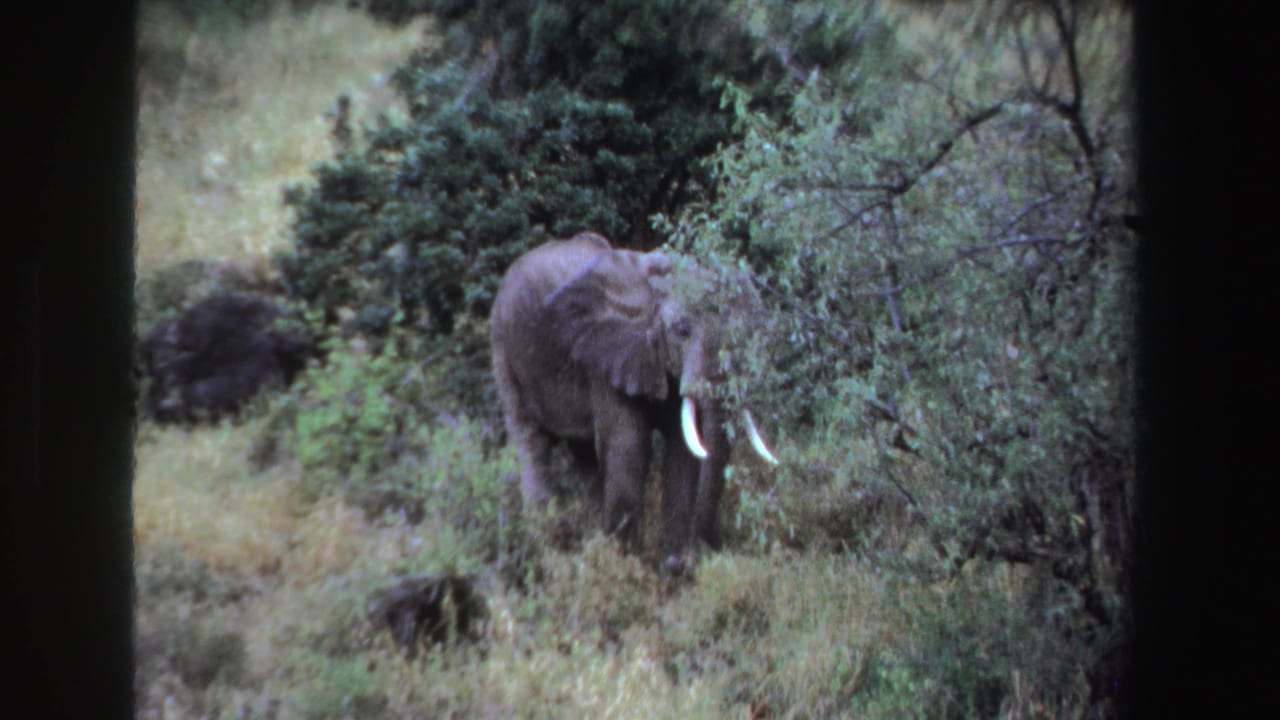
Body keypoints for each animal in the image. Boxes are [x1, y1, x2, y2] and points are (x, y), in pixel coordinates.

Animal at [490, 232, 778, 564]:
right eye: (682, 331)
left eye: (747, 333)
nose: (700, 551)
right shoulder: (606, 356)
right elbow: (629, 447)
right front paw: (627, 564)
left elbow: (681, 450)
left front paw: (672, 568)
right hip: (504, 348)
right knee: (530, 440)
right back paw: (553, 546)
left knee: (584, 454)